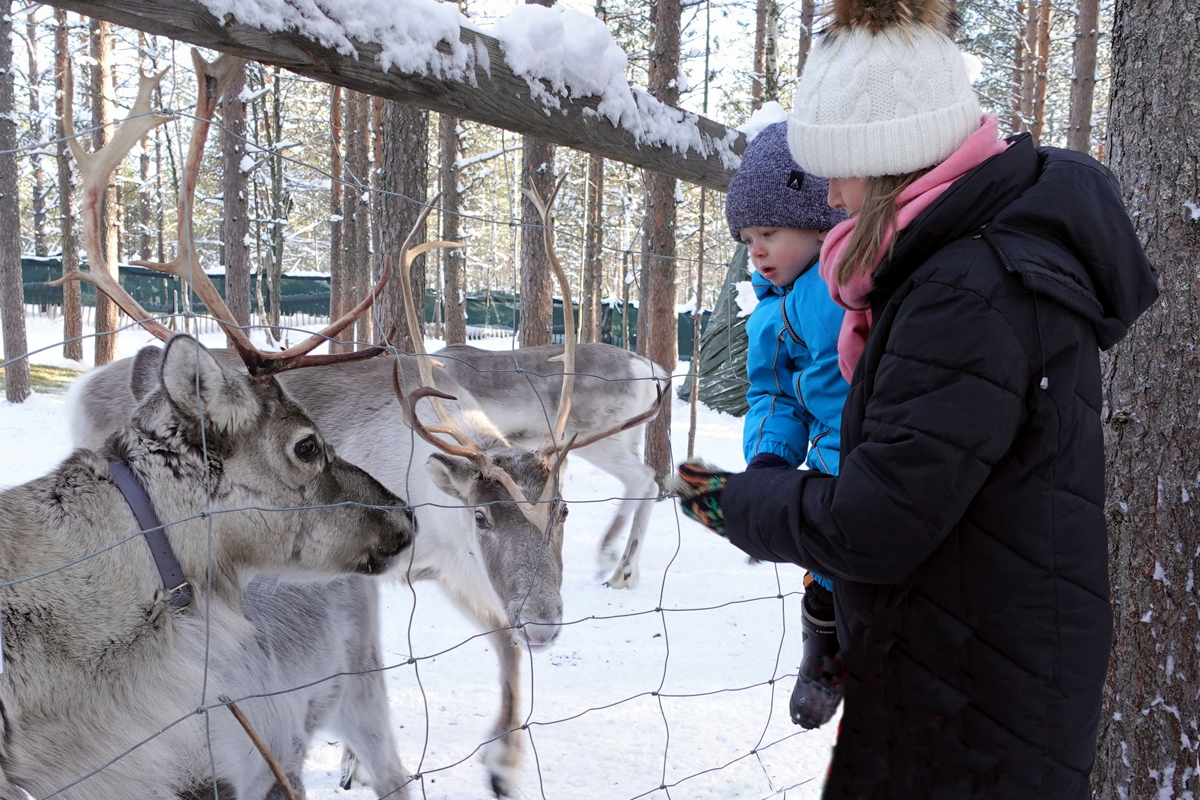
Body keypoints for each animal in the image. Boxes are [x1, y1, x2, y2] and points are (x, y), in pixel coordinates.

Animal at [63, 57, 663, 799]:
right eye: (484, 516)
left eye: (564, 509)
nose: (548, 625)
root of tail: (85, 387)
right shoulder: (386, 562)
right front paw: (357, 759)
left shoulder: (450, 571)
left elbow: (501, 642)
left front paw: (504, 760)